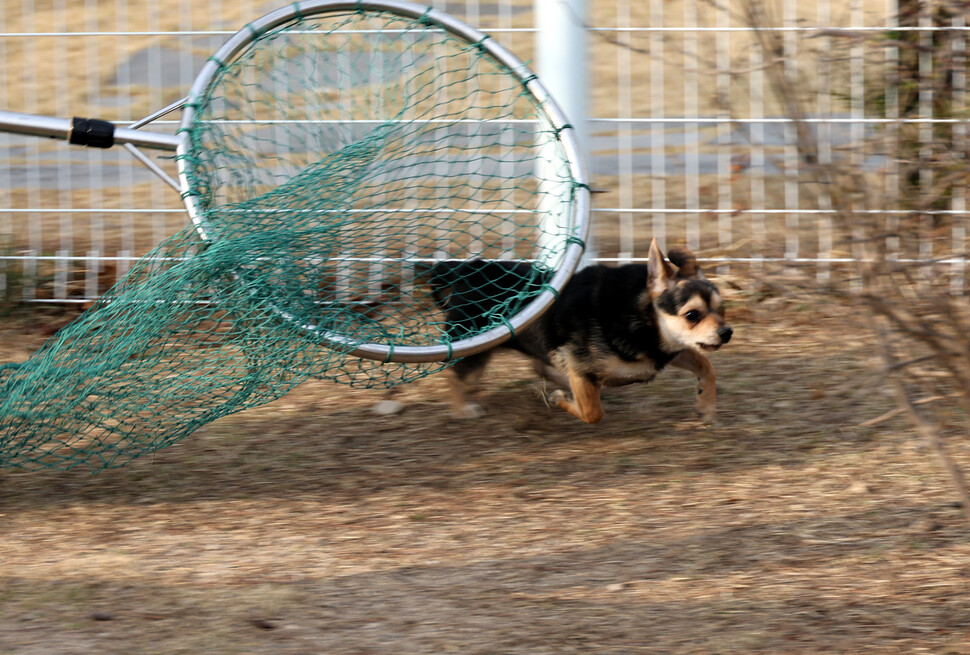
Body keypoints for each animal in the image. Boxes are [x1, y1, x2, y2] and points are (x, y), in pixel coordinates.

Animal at [428, 241, 728, 426]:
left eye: (721, 308)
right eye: (692, 315)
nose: (727, 332)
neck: (641, 317)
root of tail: (465, 268)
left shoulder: (665, 350)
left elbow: (707, 365)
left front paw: (706, 406)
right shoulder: (582, 365)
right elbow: (592, 411)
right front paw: (563, 400)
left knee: (541, 366)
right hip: (474, 348)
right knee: (454, 375)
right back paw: (461, 410)